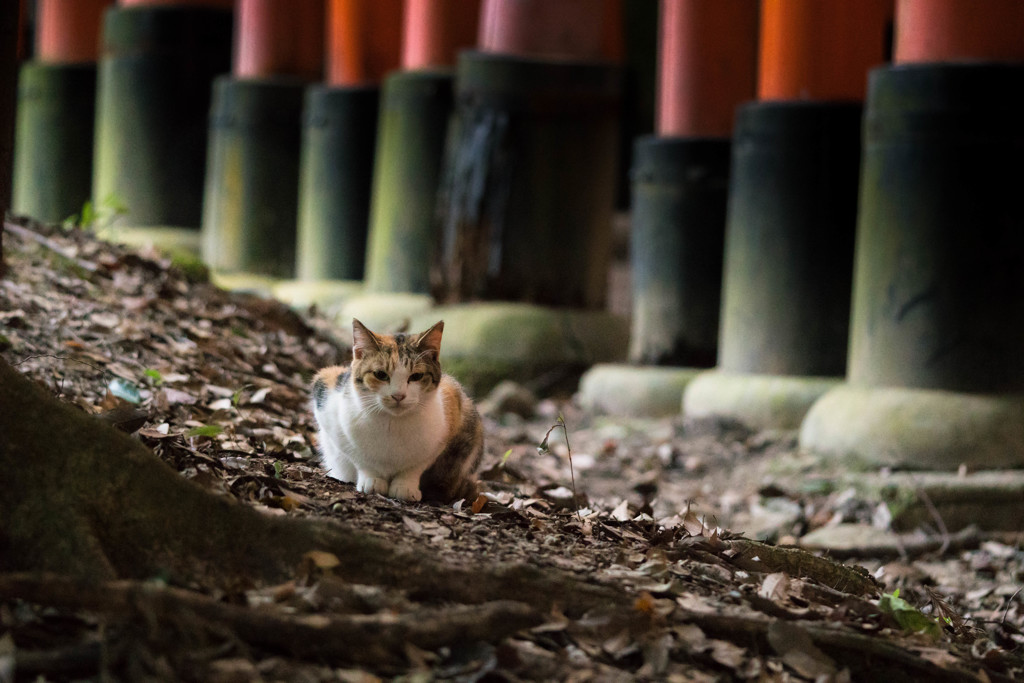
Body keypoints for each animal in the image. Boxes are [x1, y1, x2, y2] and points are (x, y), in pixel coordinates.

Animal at [311, 319, 483, 501]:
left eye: (416, 376)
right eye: (380, 374)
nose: (398, 395)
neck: (392, 422)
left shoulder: (449, 414)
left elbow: (416, 466)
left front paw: (405, 486)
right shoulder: (326, 398)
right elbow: (359, 457)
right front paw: (373, 479)